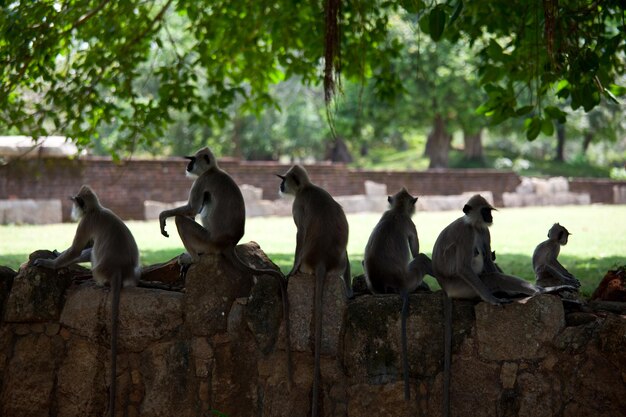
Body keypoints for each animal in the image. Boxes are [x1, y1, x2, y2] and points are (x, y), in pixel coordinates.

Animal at [32, 185, 138, 416]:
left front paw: (48, 262)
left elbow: (76, 249)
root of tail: (119, 270)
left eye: (75, 202)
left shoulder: (87, 221)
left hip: (99, 268)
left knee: (91, 250)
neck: (97, 209)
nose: (73, 208)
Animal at [157, 145, 292, 382]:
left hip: (207, 240)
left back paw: (193, 258)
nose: (188, 165)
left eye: (193, 160)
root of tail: (228, 244)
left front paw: (163, 216)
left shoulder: (202, 180)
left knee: (182, 219)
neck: (214, 170)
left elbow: (191, 210)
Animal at [276, 164, 352, 416]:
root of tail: (320, 261)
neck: (307, 188)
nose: (280, 185)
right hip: (338, 263)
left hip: (307, 262)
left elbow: (300, 233)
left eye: (285, 179)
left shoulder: (298, 205)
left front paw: (290, 272)